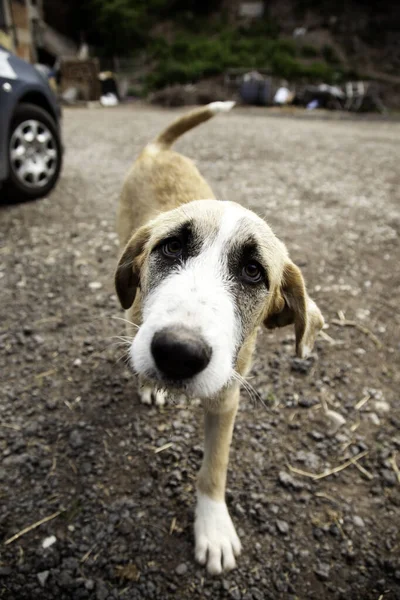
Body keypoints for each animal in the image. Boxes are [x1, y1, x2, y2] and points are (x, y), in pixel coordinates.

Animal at [114, 101, 324, 576]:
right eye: (171, 247)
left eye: (253, 272)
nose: (177, 353)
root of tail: (158, 150)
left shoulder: (228, 399)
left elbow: (215, 467)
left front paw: (213, 527)